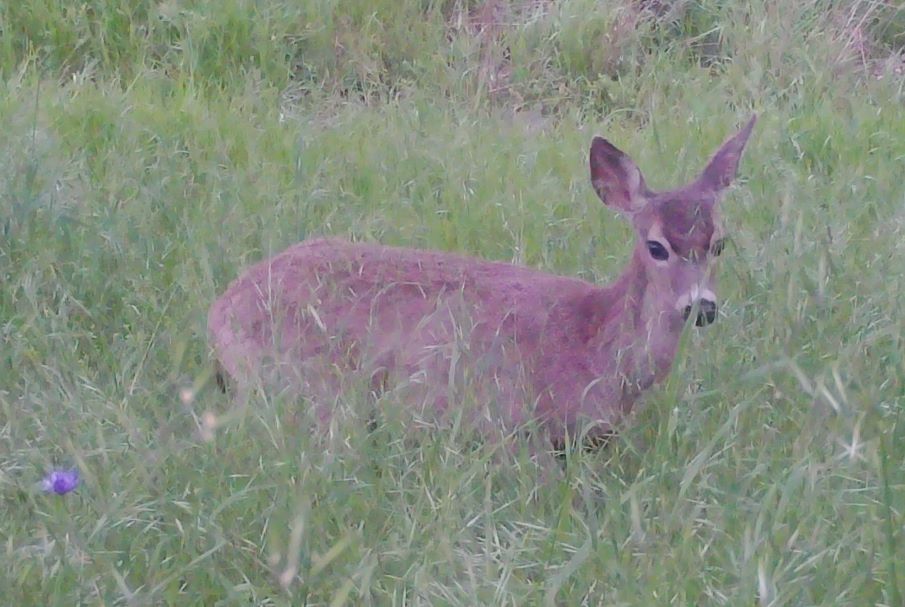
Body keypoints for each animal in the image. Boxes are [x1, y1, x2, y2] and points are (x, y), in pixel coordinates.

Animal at [208, 116, 756, 451]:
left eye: (720, 243)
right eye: (656, 246)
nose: (701, 306)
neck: (592, 345)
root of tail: (221, 312)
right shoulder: (513, 428)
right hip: (311, 389)